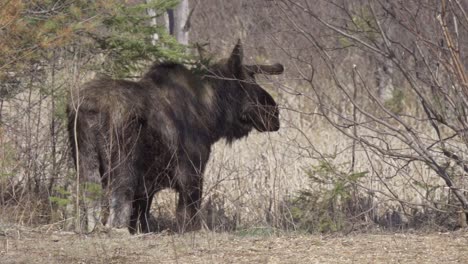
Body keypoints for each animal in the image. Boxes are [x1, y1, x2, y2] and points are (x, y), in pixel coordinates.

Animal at [67, 39, 284, 233]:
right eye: (246, 81)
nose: (274, 111)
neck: (211, 114)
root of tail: (90, 108)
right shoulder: (191, 172)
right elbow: (188, 215)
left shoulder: (148, 186)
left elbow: (142, 217)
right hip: (123, 166)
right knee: (117, 209)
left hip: (85, 161)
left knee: (90, 201)